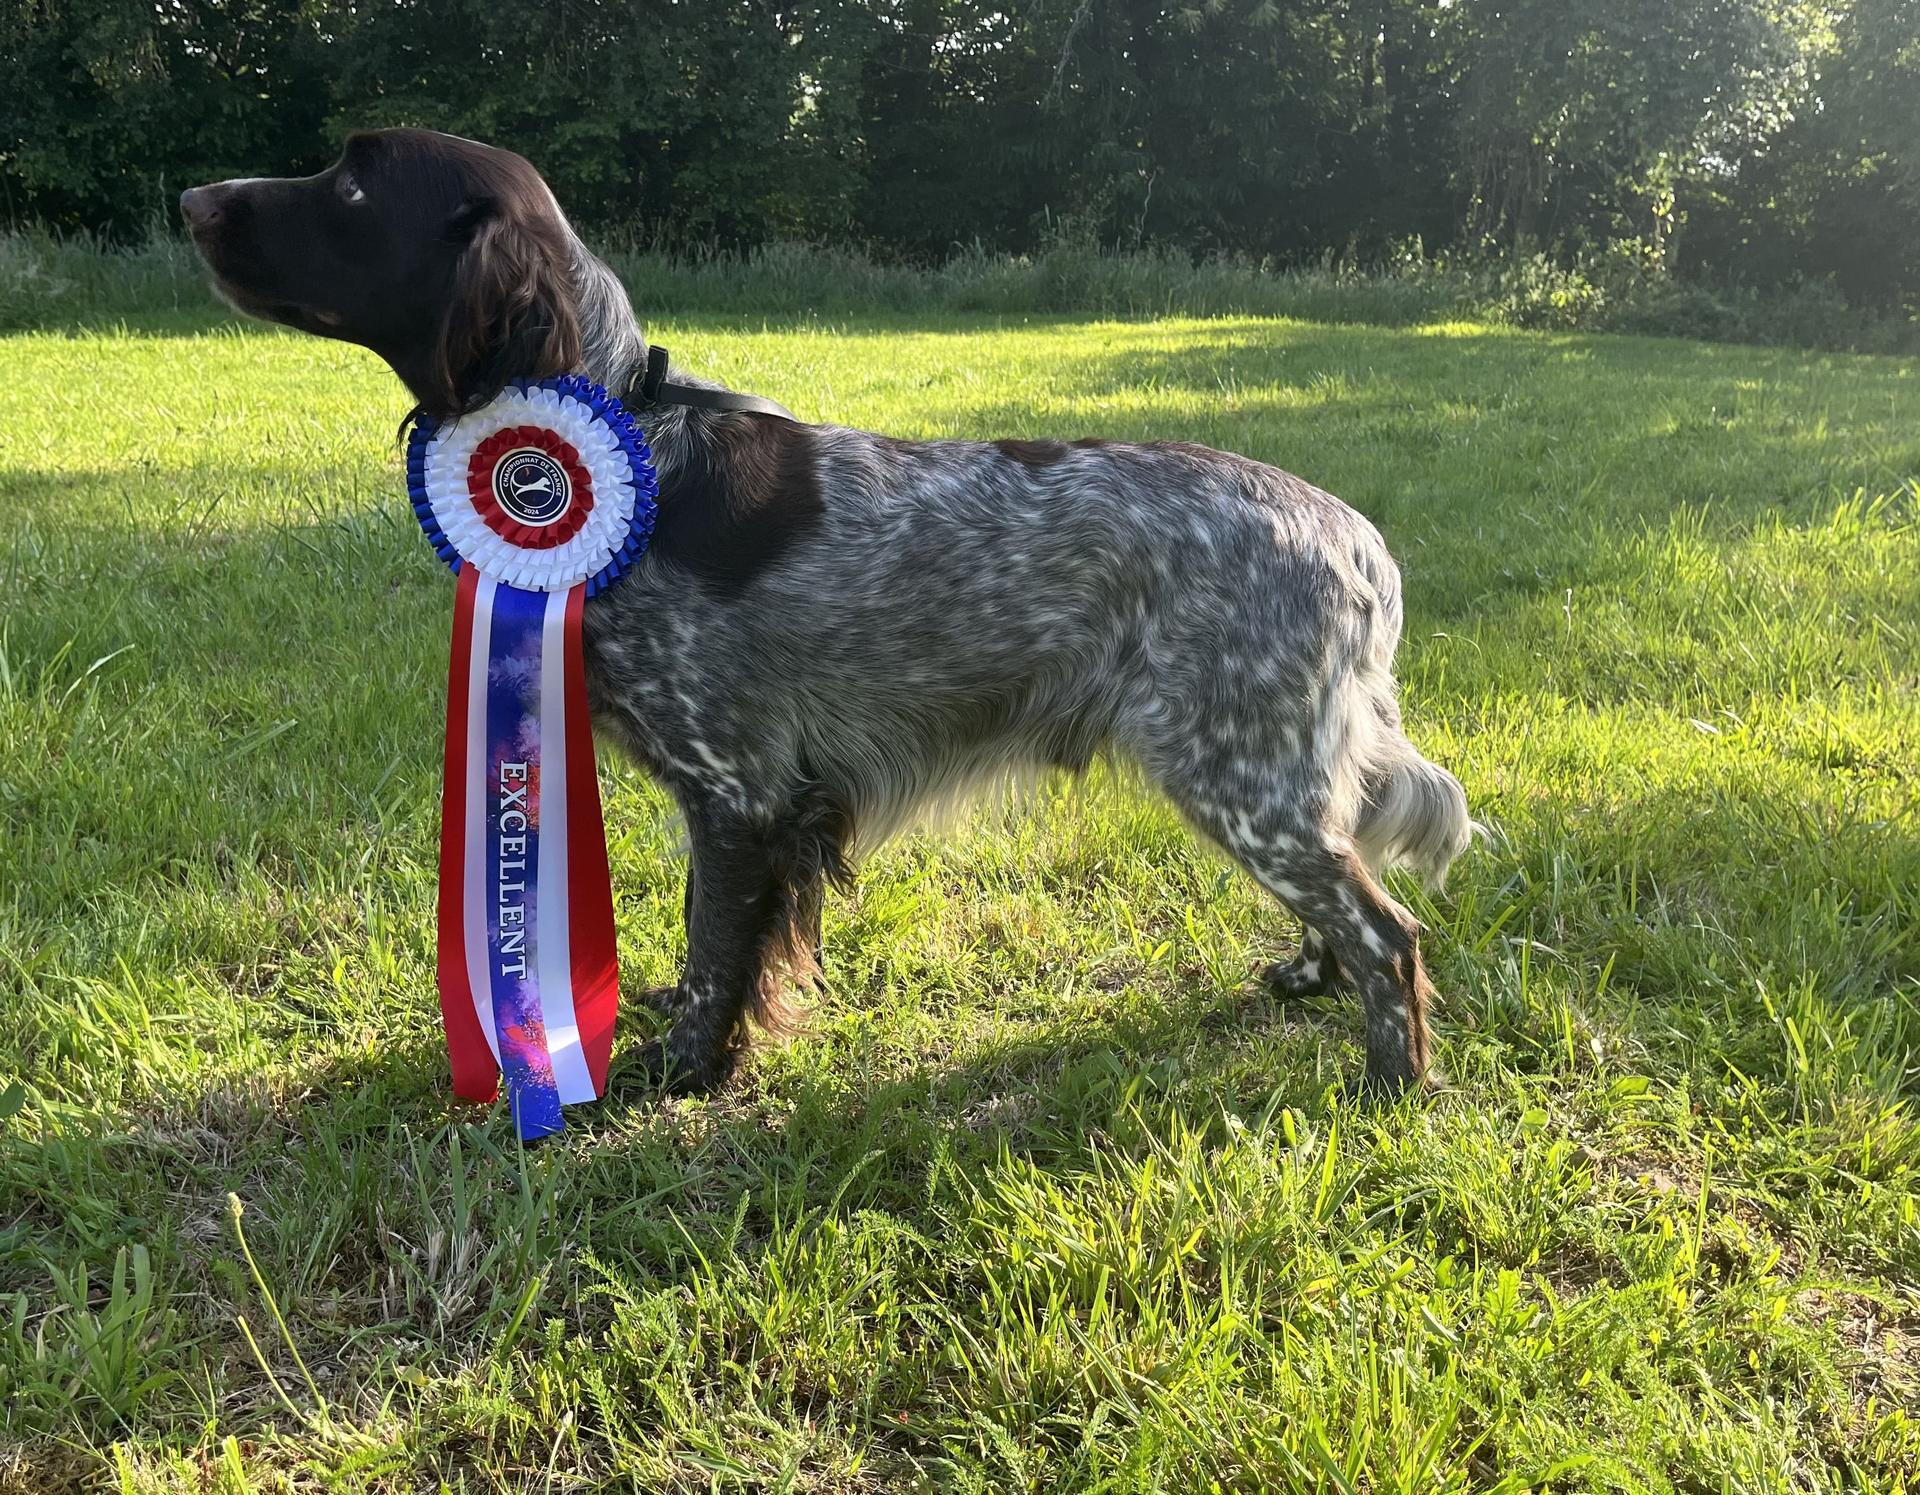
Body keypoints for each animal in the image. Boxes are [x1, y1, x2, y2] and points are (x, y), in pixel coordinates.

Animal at [183, 128, 1466, 1090]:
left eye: (353, 182)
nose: (193, 197)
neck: (632, 442)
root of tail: (1362, 545)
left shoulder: (742, 792)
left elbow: (716, 951)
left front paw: (680, 1072)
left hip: (1237, 773)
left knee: (1387, 930)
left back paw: (1391, 1081)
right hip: (1274, 781)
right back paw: (1309, 983)